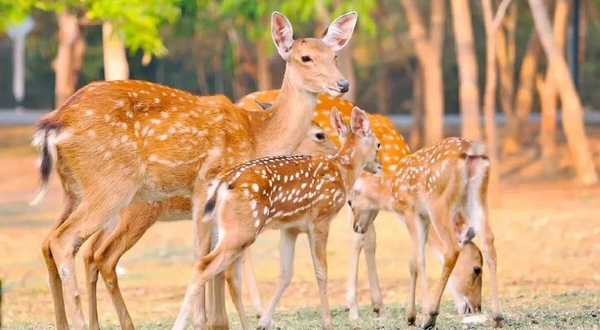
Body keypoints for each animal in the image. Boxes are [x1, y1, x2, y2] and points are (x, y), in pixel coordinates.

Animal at [31, 10, 356, 330]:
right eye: (305, 57)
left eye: (334, 56)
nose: (343, 84)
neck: (256, 137)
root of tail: (54, 124)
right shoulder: (208, 182)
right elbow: (208, 258)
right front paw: (210, 321)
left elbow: (209, 256)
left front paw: (211, 321)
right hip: (112, 184)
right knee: (67, 242)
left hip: (74, 190)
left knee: (50, 242)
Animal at [171, 106, 382, 330]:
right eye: (378, 144)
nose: (379, 166)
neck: (342, 172)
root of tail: (221, 183)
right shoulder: (321, 219)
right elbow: (321, 271)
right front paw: (328, 323)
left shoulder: (291, 227)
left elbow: (286, 272)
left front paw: (264, 322)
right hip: (242, 229)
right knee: (205, 265)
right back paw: (179, 325)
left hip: (228, 230)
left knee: (230, 275)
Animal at [350, 137, 504, 328]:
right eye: (477, 269)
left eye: (349, 202)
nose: (356, 226)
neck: (391, 190)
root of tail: (471, 151)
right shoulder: (424, 218)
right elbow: (412, 262)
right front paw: (410, 316)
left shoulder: (410, 211)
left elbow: (419, 260)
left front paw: (421, 315)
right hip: (477, 197)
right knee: (489, 242)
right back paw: (497, 317)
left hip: (438, 201)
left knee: (452, 249)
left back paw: (431, 316)